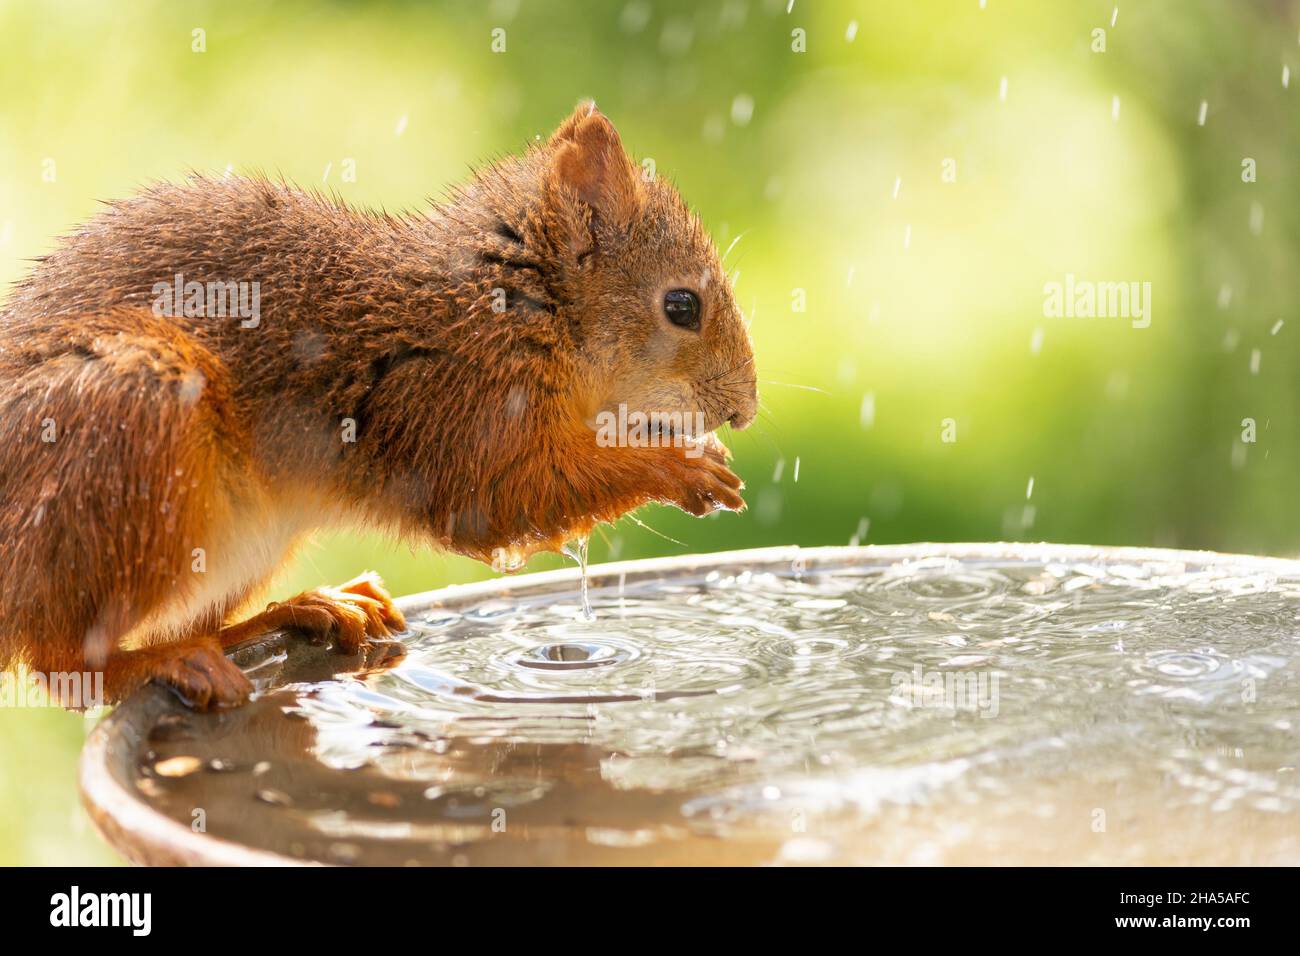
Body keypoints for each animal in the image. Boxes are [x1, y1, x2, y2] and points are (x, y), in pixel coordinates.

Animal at [0, 102, 757, 711]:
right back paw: (170, 660)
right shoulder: (460, 401)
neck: (515, 305)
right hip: (132, 413)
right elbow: (502, 496)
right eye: (681, 306)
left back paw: (301, 610)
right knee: (61, 663)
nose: (745, 412)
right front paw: (681, 467)